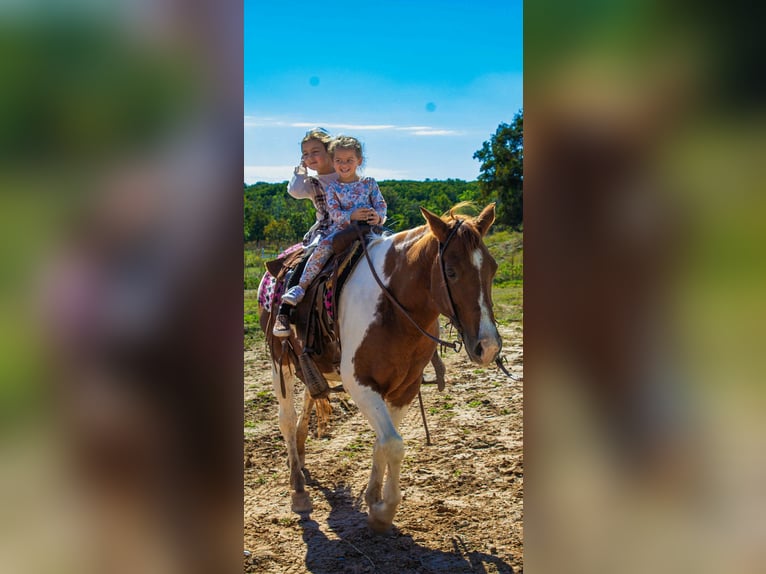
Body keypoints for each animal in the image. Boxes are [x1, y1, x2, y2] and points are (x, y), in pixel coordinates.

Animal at [257, 202, 502, 532]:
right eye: (451, 271)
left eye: (492, 268)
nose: (488, 347)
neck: (393, 307)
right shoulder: (360, 384)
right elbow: (394, 444)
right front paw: (384, 511)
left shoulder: (405, 388)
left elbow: (383, 443)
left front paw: (374, 498)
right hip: (278, 359)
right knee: (286, 418)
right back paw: (298, 488)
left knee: (311, 394)